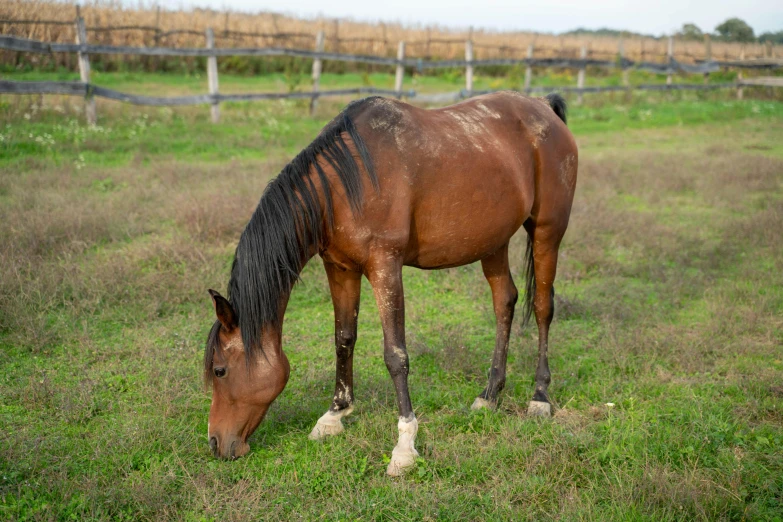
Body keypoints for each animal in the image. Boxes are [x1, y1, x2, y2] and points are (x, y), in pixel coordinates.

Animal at [205, 90, 580, 476]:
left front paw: (405, 446)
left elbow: (395, 355)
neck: (343, 187)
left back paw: (539, 397)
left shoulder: (385, 267)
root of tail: (543, 107)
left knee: (542, 307)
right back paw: (489, 396)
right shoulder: (340, 268)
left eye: (219, 370)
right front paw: (334, 415)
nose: (216, 443)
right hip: (493, 242)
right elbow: (344, 339)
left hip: (548, 231)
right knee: (504, 301)